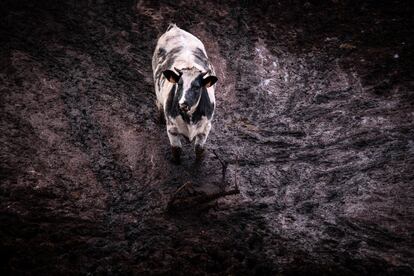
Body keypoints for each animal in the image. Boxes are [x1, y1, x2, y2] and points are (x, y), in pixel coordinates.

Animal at [151, 24, 217, 162]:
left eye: (197, 87)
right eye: (179, 84)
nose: (183, 103)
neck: (190, 118)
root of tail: (175, 28)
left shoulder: (206, 128)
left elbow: (199, 149)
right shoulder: (172, 129)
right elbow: (176, 150)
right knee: (158, 103)